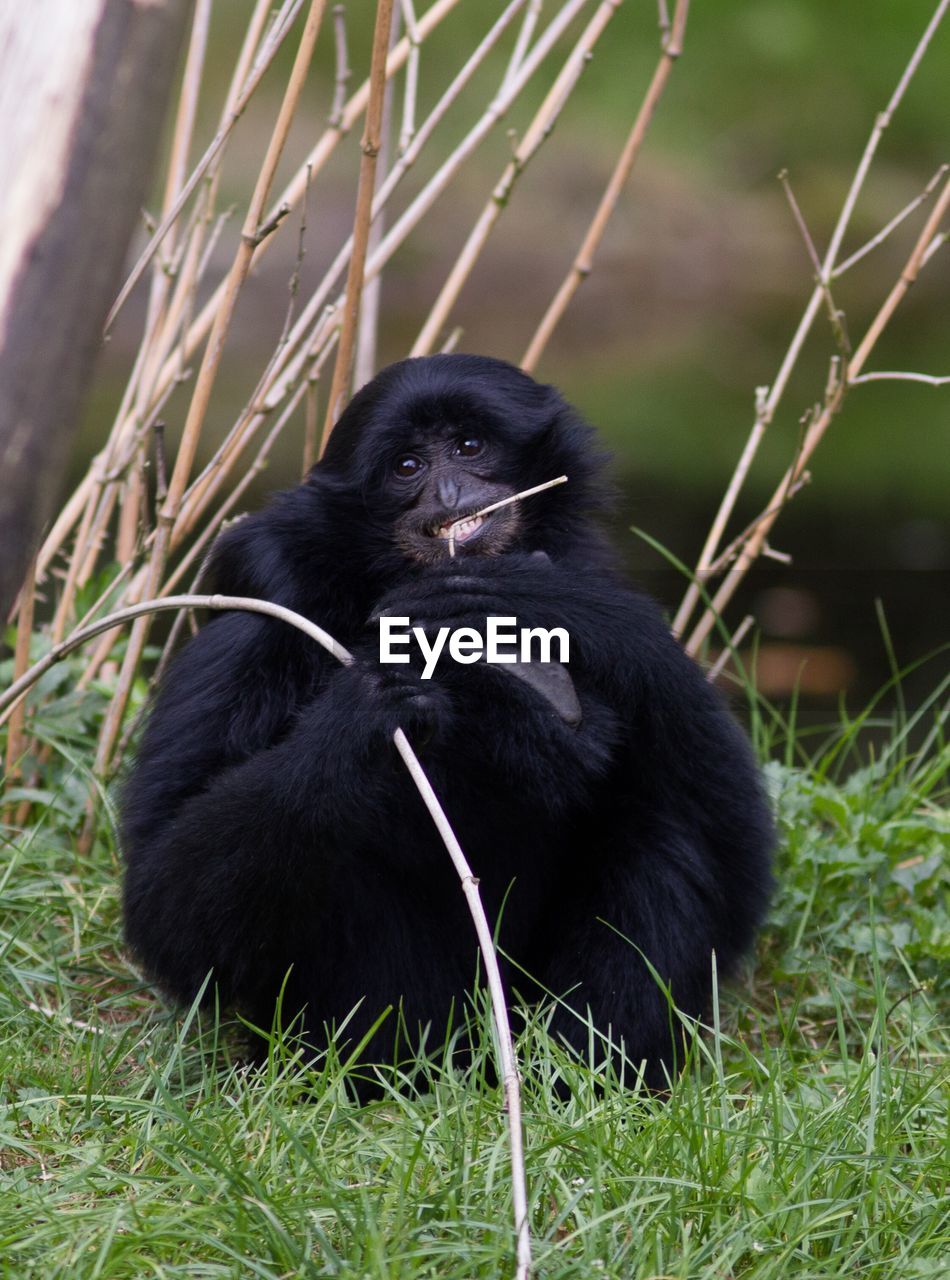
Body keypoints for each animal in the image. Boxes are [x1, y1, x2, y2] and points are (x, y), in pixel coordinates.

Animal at [120, 353, 773, 1090]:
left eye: (468, 446)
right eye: (407, 467)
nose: (450, 489)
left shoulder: (590, 564)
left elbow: (736, 851)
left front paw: (531, 601)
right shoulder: (257, 608)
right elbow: (166, 900)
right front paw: (369, 705)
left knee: (660, 828)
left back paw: (588, 1081)